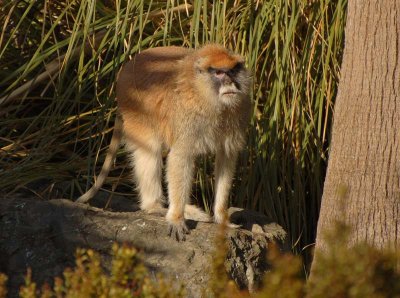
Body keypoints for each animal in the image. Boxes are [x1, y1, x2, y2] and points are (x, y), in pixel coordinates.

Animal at [78, 43, 252, 240]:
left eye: (233, 71)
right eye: (219, 73)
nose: (230, 83)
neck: (203, 92)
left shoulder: (240, 112)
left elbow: (226, 158)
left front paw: (222, 218)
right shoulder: (187, 117)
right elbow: (179, 158)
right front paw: (176, 218)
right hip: (135, 110)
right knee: (149, 151)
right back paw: (154, 207)